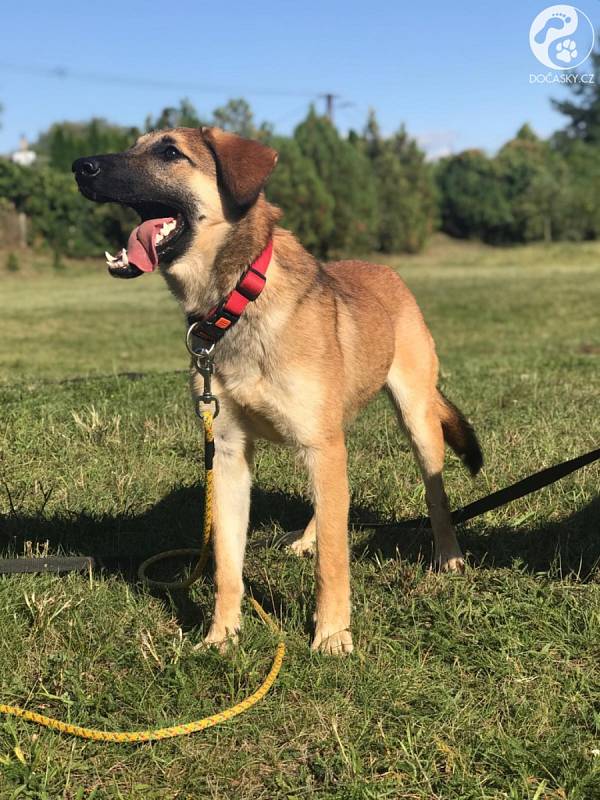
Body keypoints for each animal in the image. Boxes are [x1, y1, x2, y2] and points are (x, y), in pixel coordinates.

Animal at [72, 128, 482, 656]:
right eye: (133, 144)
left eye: (169, 152)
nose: (81, 167)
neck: (236, 301)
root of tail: (389, 272)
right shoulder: (229, 453)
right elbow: (228, 562)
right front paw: (221, 635)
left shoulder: (320, 445)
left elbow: (334, 560)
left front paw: (332, 635)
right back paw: (307, 538)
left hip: (414, 417)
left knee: (434, 496)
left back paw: (448, 555)